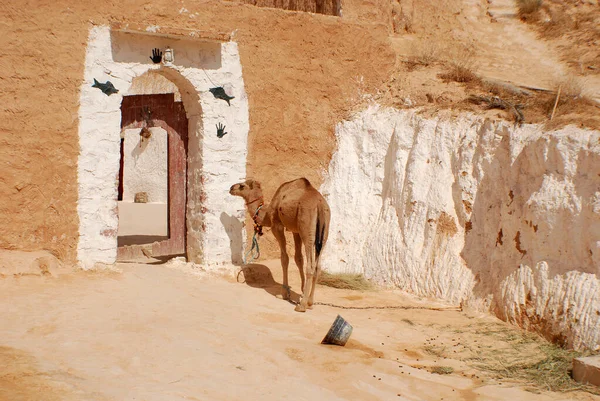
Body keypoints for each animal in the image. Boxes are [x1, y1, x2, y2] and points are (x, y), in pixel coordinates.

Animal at [231, 177, 332, 310]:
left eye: (242, 186)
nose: (231, 188)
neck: (266, 212)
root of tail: (319, 204)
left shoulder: (276, 225)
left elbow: (284, 258)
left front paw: (284, 294)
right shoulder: (295, 230)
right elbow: (298, 258)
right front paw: (301, 291)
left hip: (307, 226)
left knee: (310, 265)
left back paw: (301, 306)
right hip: (325, 229)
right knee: (318, 265)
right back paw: (310, 302)